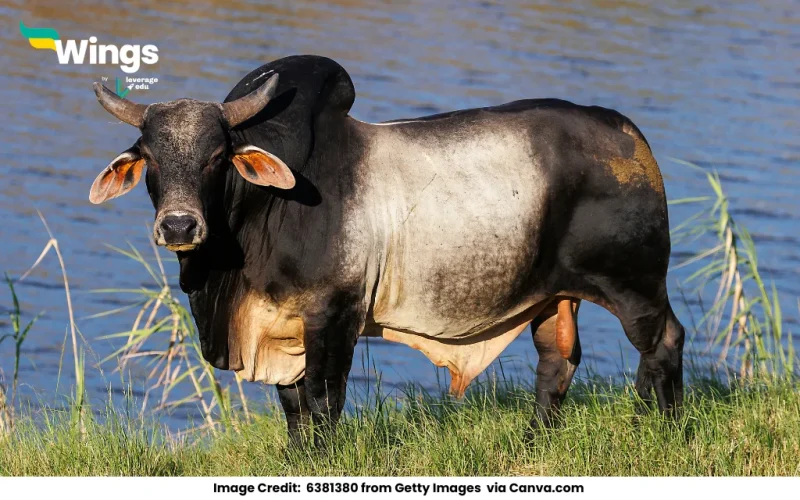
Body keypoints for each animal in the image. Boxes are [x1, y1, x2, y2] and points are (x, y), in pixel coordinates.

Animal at [89, 55, 685, 445]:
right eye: (150, 158)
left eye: (216, 156)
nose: (179, 225)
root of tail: (627, 133)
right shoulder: (285, 330)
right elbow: (293, 406)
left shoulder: (333, 317)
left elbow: (324, 402)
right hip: (554, 295)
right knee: (557, 360)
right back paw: (536, 440)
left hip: (635, 284)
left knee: (663, 343)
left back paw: (659, 429)